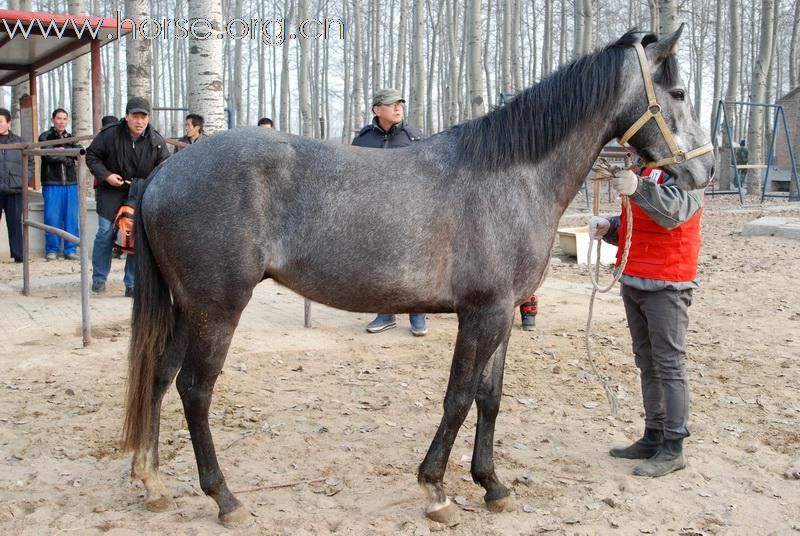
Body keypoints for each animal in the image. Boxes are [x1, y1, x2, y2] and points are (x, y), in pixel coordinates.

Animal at [123, 27, 712, 524]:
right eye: (680, 91)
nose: (704, 169)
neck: (511, 176)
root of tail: (163, 171)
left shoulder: (502, 314)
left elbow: (489, 398)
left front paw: (493, 486)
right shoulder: (483, 314)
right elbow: (459, 396)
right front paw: (437, 491)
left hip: (188, 307)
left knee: (159, 376)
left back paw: (152, 482)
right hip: (217, 308)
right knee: (195, 389)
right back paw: (224, 499)